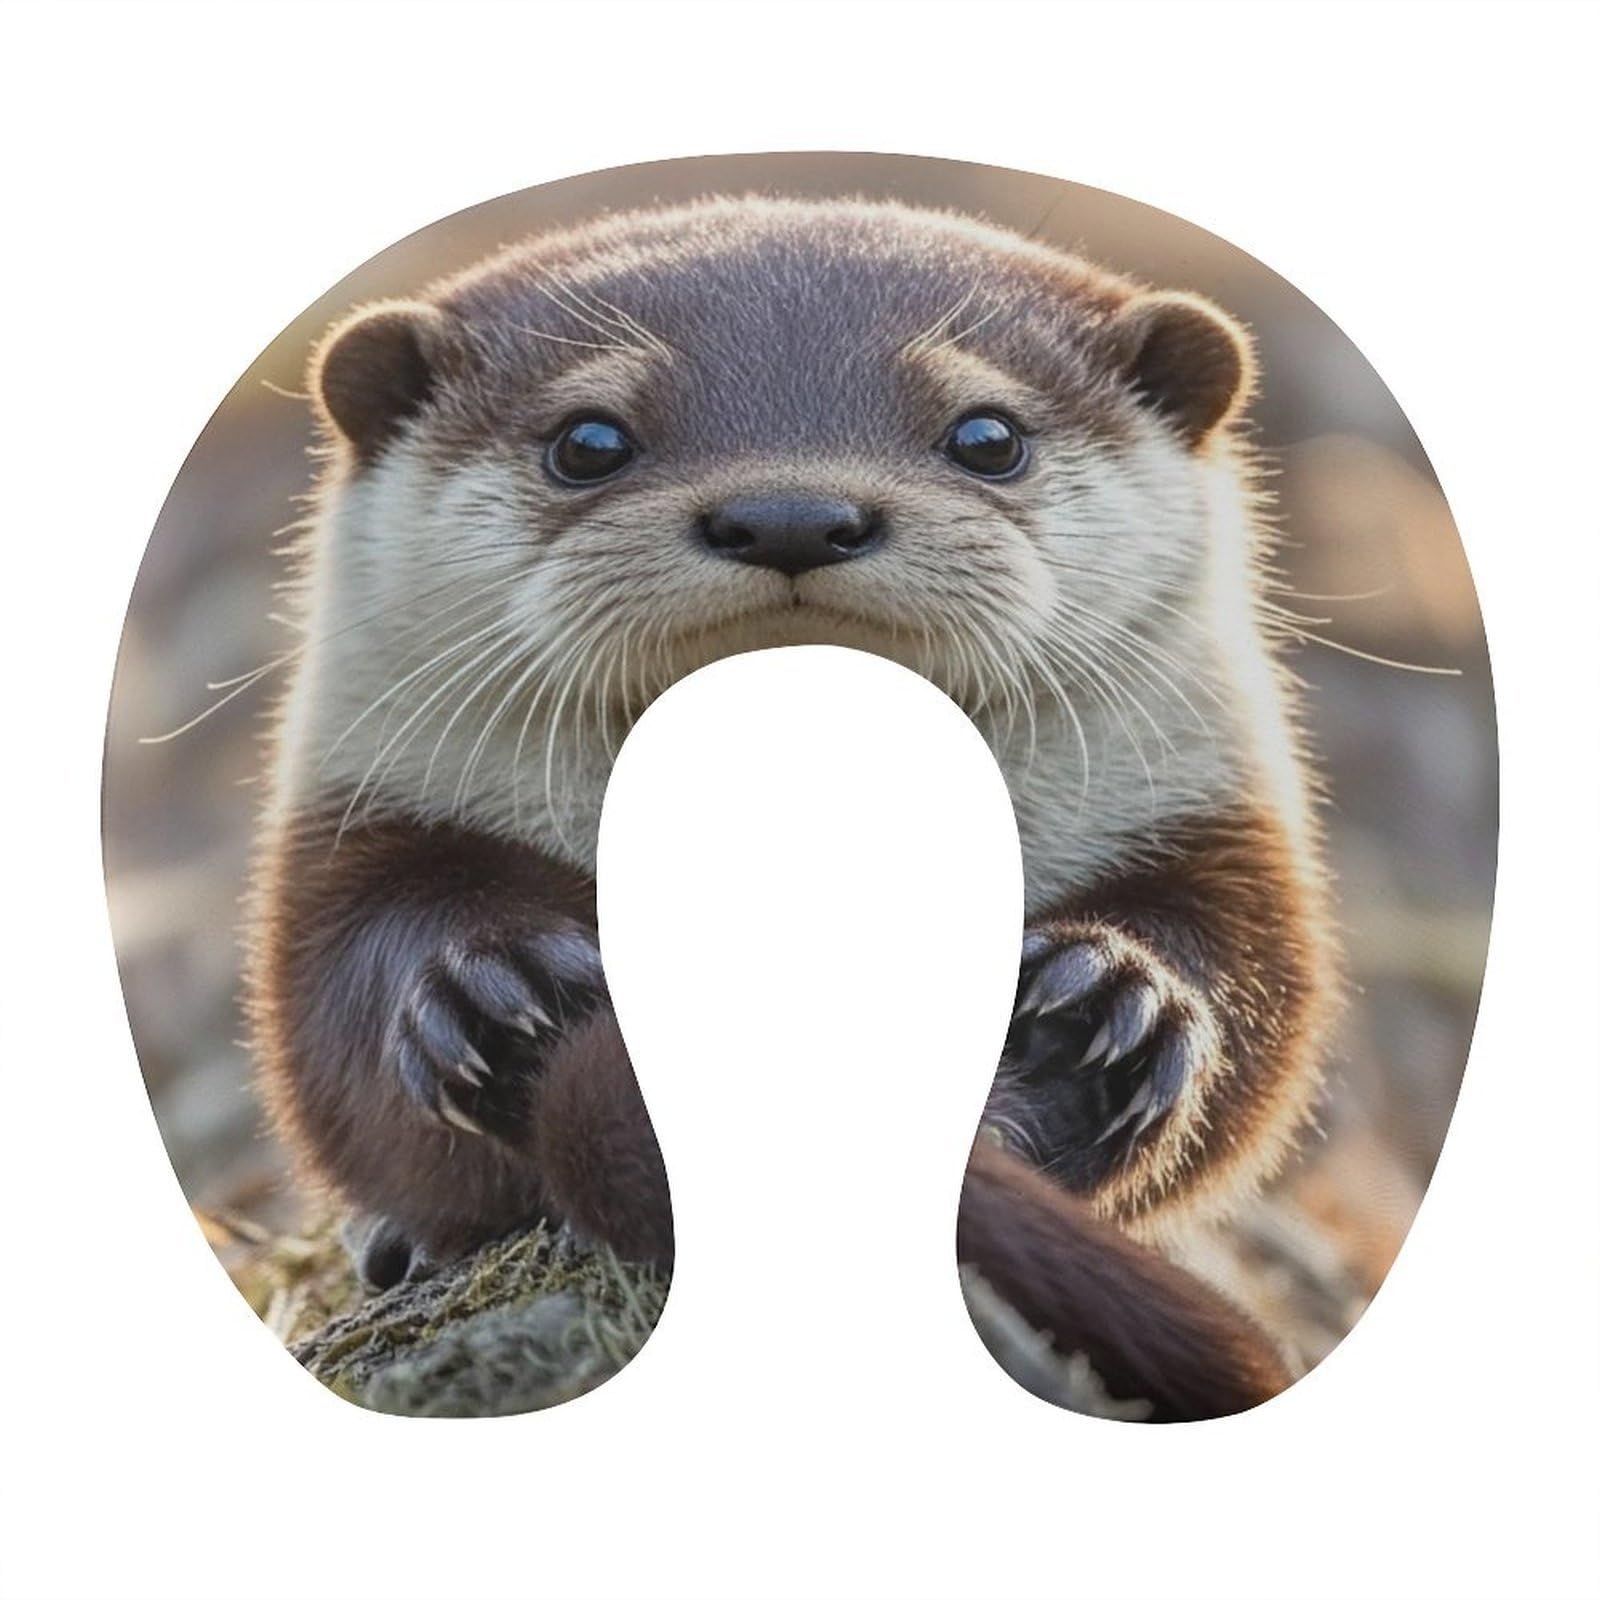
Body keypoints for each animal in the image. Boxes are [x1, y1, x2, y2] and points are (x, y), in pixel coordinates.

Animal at [248, 197, 1334, 1419]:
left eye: (987, 436)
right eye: (588, 441)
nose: (791, 514)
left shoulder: (1204, 823)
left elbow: (1247, 992)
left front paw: (1110, 1007)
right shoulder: (360, 827)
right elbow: (344, 1007)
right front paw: (500, 990)